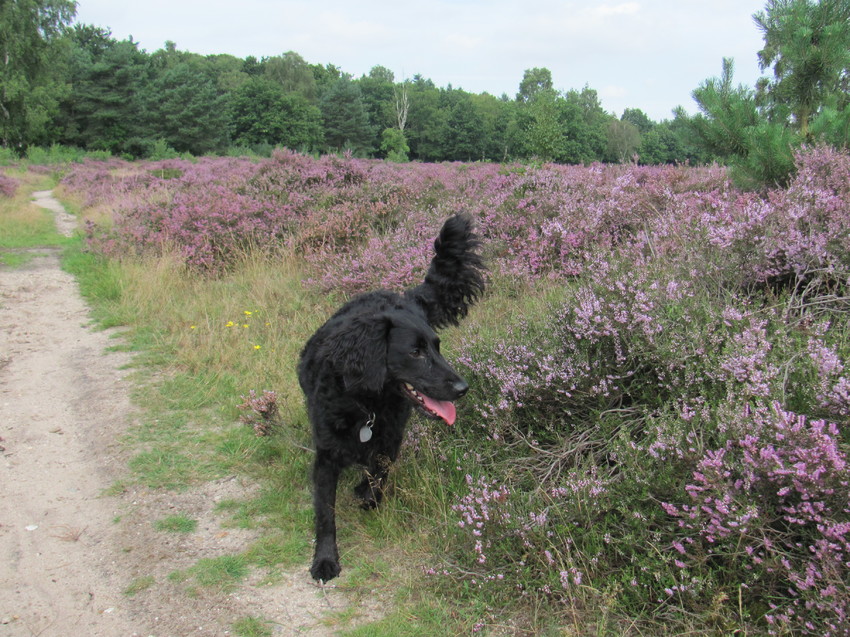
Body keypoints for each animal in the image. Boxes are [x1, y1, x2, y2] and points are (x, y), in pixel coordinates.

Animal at [298, 213, 486, 582]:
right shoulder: (326, 454)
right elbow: (325, 513)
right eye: (415, 352)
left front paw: (369, 496)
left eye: (438, 346)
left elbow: (380, 471)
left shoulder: (391, 435)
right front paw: (325, 560)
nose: (463, 388)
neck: (365, 403)